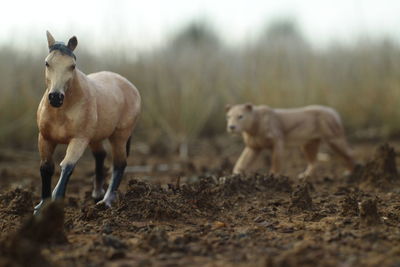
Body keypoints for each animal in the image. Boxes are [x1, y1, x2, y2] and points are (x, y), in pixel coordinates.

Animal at [34, 31, 141, 215]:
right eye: (47, 63)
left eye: (72, 66)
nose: (55, 97)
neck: (61, 111)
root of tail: (130, 86)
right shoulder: (45, 138)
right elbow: (46, 168)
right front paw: (41, 207)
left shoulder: (79, 140)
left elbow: (67, 166)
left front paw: (55, 203)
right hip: (95, 138)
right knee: (101, 155)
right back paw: (97, 194)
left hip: (119, 137)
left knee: (119, 164)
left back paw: (106, 201)